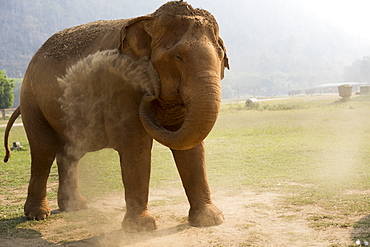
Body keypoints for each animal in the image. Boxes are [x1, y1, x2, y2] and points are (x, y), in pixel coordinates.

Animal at [2, 0, 228, 232]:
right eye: (178, 56)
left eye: (221, 56)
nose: (150, 93)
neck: (150, 19)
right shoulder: (120, 87)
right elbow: (135, 146)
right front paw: (141, 228)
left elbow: (190, 148)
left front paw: (210, 220)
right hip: (32, 102)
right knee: (43, 151)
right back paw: (38, 215)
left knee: (69, 152)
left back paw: (75, 206)